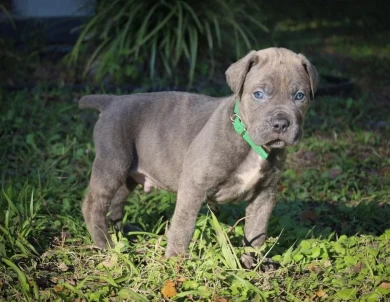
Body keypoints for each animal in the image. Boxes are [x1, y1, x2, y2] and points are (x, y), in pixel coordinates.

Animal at [78, 47, 316, 268]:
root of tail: (112, 102)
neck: (250, 142)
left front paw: (254, 262)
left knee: (117, 201)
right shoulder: (193, 185)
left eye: (299, 96)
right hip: (112, 163)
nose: (280, 124)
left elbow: (256, 232)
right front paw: (176, 262)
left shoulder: (264, 195)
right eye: (258, 94)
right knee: (93, 204)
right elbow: (183, 226)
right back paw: (105, 244)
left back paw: (122, 235)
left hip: (128, 174)